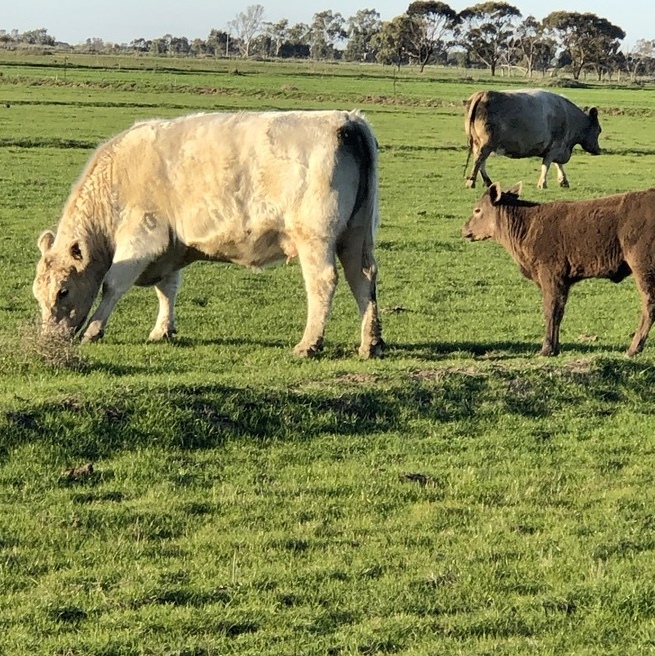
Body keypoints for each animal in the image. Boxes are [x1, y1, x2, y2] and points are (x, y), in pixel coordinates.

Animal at [32, 109, 384, 359]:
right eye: (38, 294)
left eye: (63, 291)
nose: (49, 340)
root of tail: (347, 120)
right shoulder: (169, 247)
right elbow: (167, 289)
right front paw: (163, 330)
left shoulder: (141, 237)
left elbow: (113, 285)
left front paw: (94, 329)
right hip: (356, 235)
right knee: (362, 279)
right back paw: (371, 343)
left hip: (315, 237)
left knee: (323, 283)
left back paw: (309, 344)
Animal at [461, 182, 655, 357]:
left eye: (477, 210)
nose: (464, 230)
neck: (527, 226)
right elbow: (559, 310)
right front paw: (554, 348)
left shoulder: (551, 274)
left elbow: (551, 310)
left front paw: (547, 349)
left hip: (643, 267)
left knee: (649, 304)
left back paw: (632, 349)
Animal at [464, 89, 602, 189]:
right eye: (599, 130)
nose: (598, 150)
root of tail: (483, 94)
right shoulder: (556, 147)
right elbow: (547, 165)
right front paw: (543, 183)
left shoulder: (558, 148)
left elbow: (558, 164)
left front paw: (563, 181)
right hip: (486, 144)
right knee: (479, 161)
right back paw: (471, 182)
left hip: (479, 143)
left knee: (481, 162)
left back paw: (487, 182)